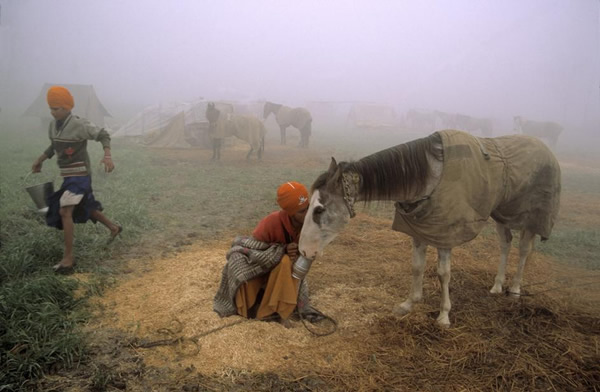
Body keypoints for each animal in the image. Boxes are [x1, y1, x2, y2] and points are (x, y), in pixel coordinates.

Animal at [300, 130, 564, 326]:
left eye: (319, 210)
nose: (303, 251)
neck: (428, 175)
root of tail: (546, 149)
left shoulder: (445, 235)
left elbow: (443, 273)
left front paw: (444, 316)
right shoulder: (419, 230)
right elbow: (417, 267)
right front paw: (408, 304)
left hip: (530, 217)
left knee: (524, 250)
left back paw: (516, 289)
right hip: (502, 213)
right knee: (505, 244)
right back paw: (497, 286)